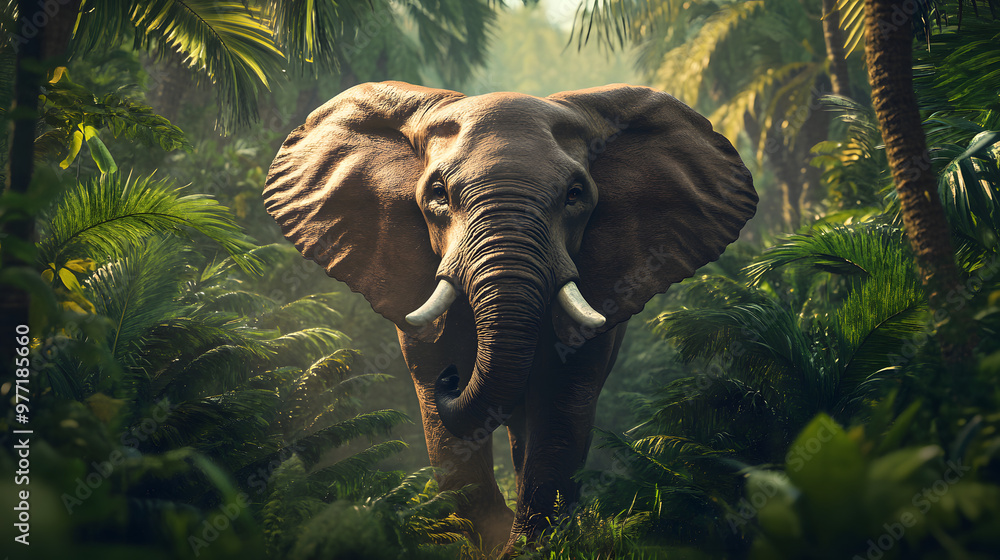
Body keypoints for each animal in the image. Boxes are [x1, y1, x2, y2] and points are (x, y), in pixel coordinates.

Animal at [263, 81, 757, 554]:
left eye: (575, 195)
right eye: (438, 194)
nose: (453, 378)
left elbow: (562, 406)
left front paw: (527, 547)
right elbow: (442, 422)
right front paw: (494, 542)